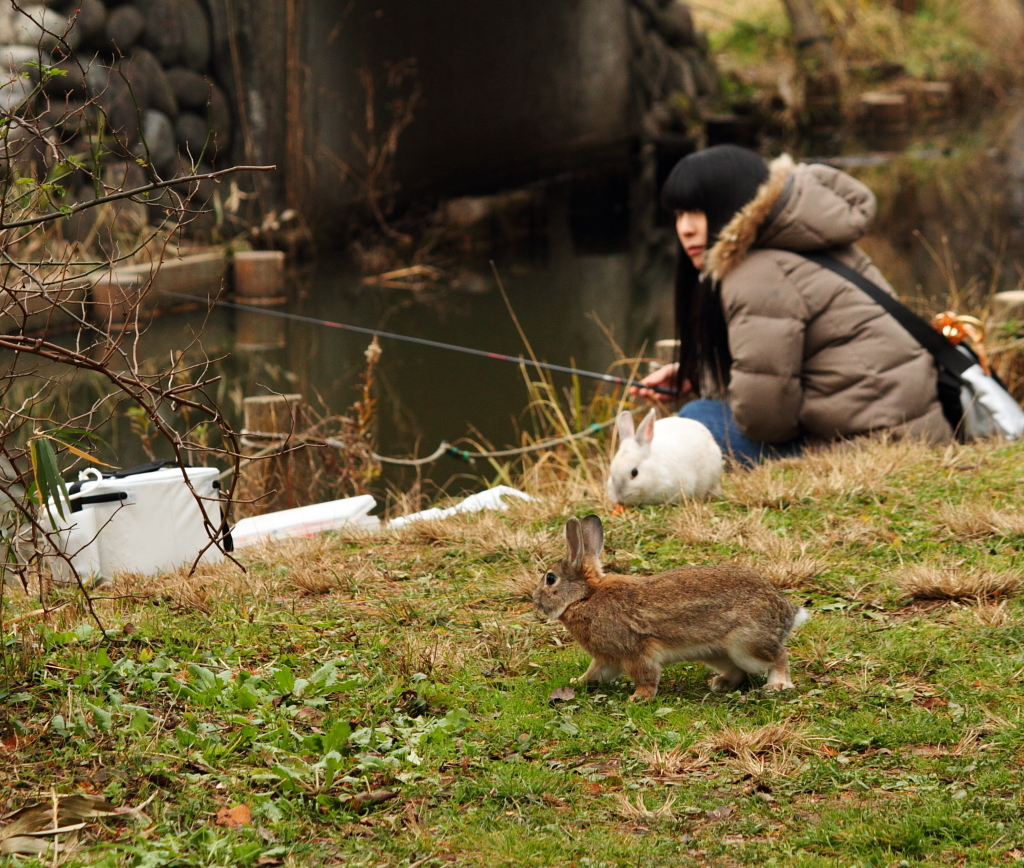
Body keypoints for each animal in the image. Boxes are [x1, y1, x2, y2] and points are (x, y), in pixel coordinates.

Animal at [528, 515, 806, 700]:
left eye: (550, 578)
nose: (535, 599)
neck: (585, 597)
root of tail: (787, 612)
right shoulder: (608, 658)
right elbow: (595, 673)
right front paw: (577, 681)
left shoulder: (635, 652)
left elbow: (646, 675)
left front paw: (639, 698)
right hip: (715, 652)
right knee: (738, 672)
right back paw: (720, 684)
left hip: (746, 644)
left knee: (778, 657)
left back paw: (778, 684)